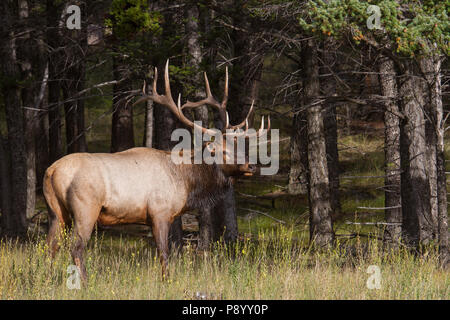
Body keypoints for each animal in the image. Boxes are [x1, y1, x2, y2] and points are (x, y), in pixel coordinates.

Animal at [44, 60, 270, 282]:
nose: (252, 166)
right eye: (223, 151)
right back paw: (85, 283)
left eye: (238, 147)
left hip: (56, 211)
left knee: (49, 247)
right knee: (76, 248)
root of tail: (52, 171)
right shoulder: (160, 212)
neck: (186, 182)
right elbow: (164, 253)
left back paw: (46, 281)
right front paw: (167, 282)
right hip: (86, 208)